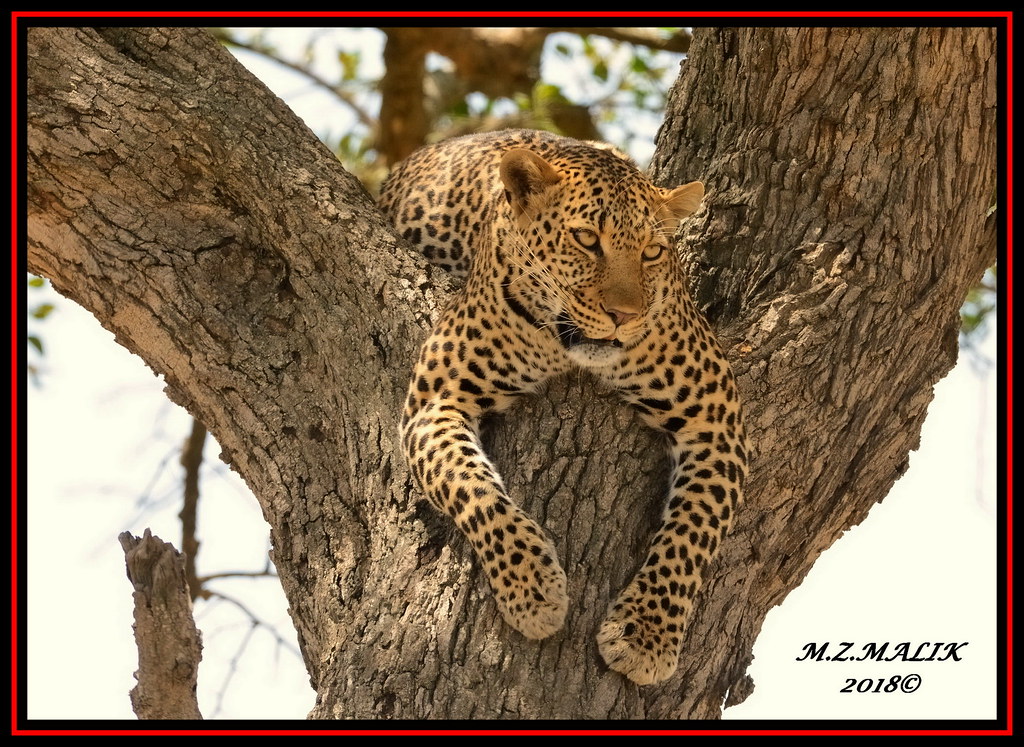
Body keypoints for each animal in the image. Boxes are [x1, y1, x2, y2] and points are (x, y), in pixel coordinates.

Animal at [380, 129, 749, 688]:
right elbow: (473, 489)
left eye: (653, 252)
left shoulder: (715, 418)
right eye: (586, 239)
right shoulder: (435, 401)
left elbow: (692, 530)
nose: (624, 316)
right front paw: (532, 589)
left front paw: (646, 635)